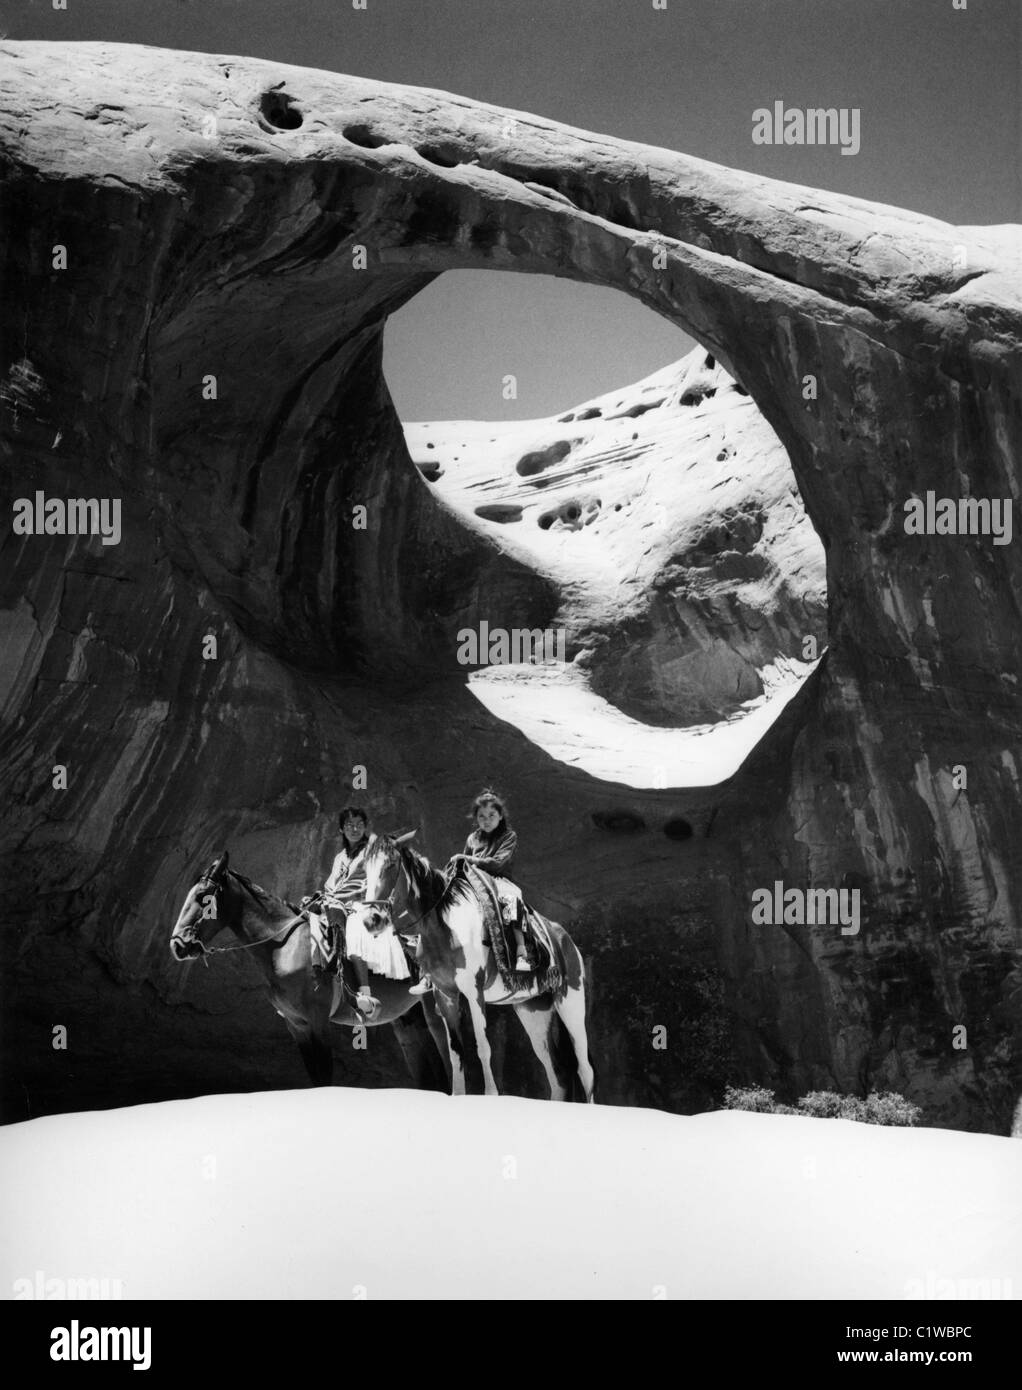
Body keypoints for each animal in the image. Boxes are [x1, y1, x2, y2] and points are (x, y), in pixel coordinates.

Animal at [169, 850, 450, 1089]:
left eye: (203, 898)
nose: (178, 945)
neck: (284, 946)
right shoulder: (297, 1026)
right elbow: (316, 1077)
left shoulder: (318, 1021)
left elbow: (325, 1076)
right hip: (410, 1023)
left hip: (435, 1016)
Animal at [347, 828, 595, 1100]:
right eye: (364, 868)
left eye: (391, 864)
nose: (372, 920)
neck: (445, 927)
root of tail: (565, 940)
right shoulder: (445, 994)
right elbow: (456, 1051)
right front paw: (458, 1094)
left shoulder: (473, 991)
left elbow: (482, 1046)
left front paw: (490, 1094)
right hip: (533, 1010)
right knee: (556, 1073)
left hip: (571, 1004)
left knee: (585, 1069)